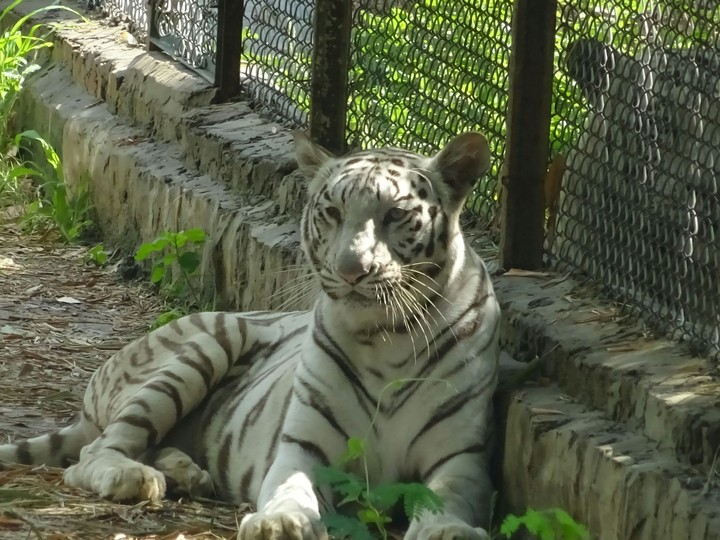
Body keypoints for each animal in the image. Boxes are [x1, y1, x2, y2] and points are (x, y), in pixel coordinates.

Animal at [0, 131, 500, 540]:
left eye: (396, 214)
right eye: (332, 212)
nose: (351, 271)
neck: (385, 336)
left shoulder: (461, 457)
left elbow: (448, 498)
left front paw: (449, 530)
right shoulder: (303, 447)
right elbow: (291, 488)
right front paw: (280, 522)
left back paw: (186, 473)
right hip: (206, 347)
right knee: (95, 452)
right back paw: (136, 478)